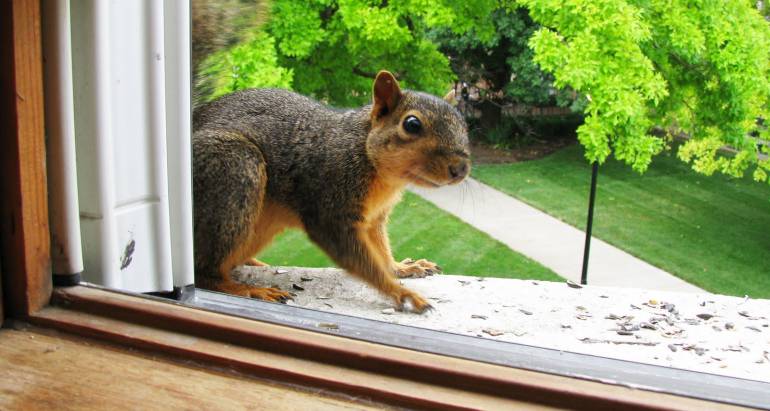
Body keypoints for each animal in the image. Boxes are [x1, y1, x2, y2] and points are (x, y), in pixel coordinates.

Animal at [192, 71, 470, 313]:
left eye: (463, 123)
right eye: (412, 124)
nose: (461, 168)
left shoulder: (374, 218)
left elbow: (380, 250)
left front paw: (401, 267)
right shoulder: (330, 207)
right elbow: (360, 259)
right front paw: (401, 293)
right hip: (235, 169)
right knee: (205, 273)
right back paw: (248, 289)